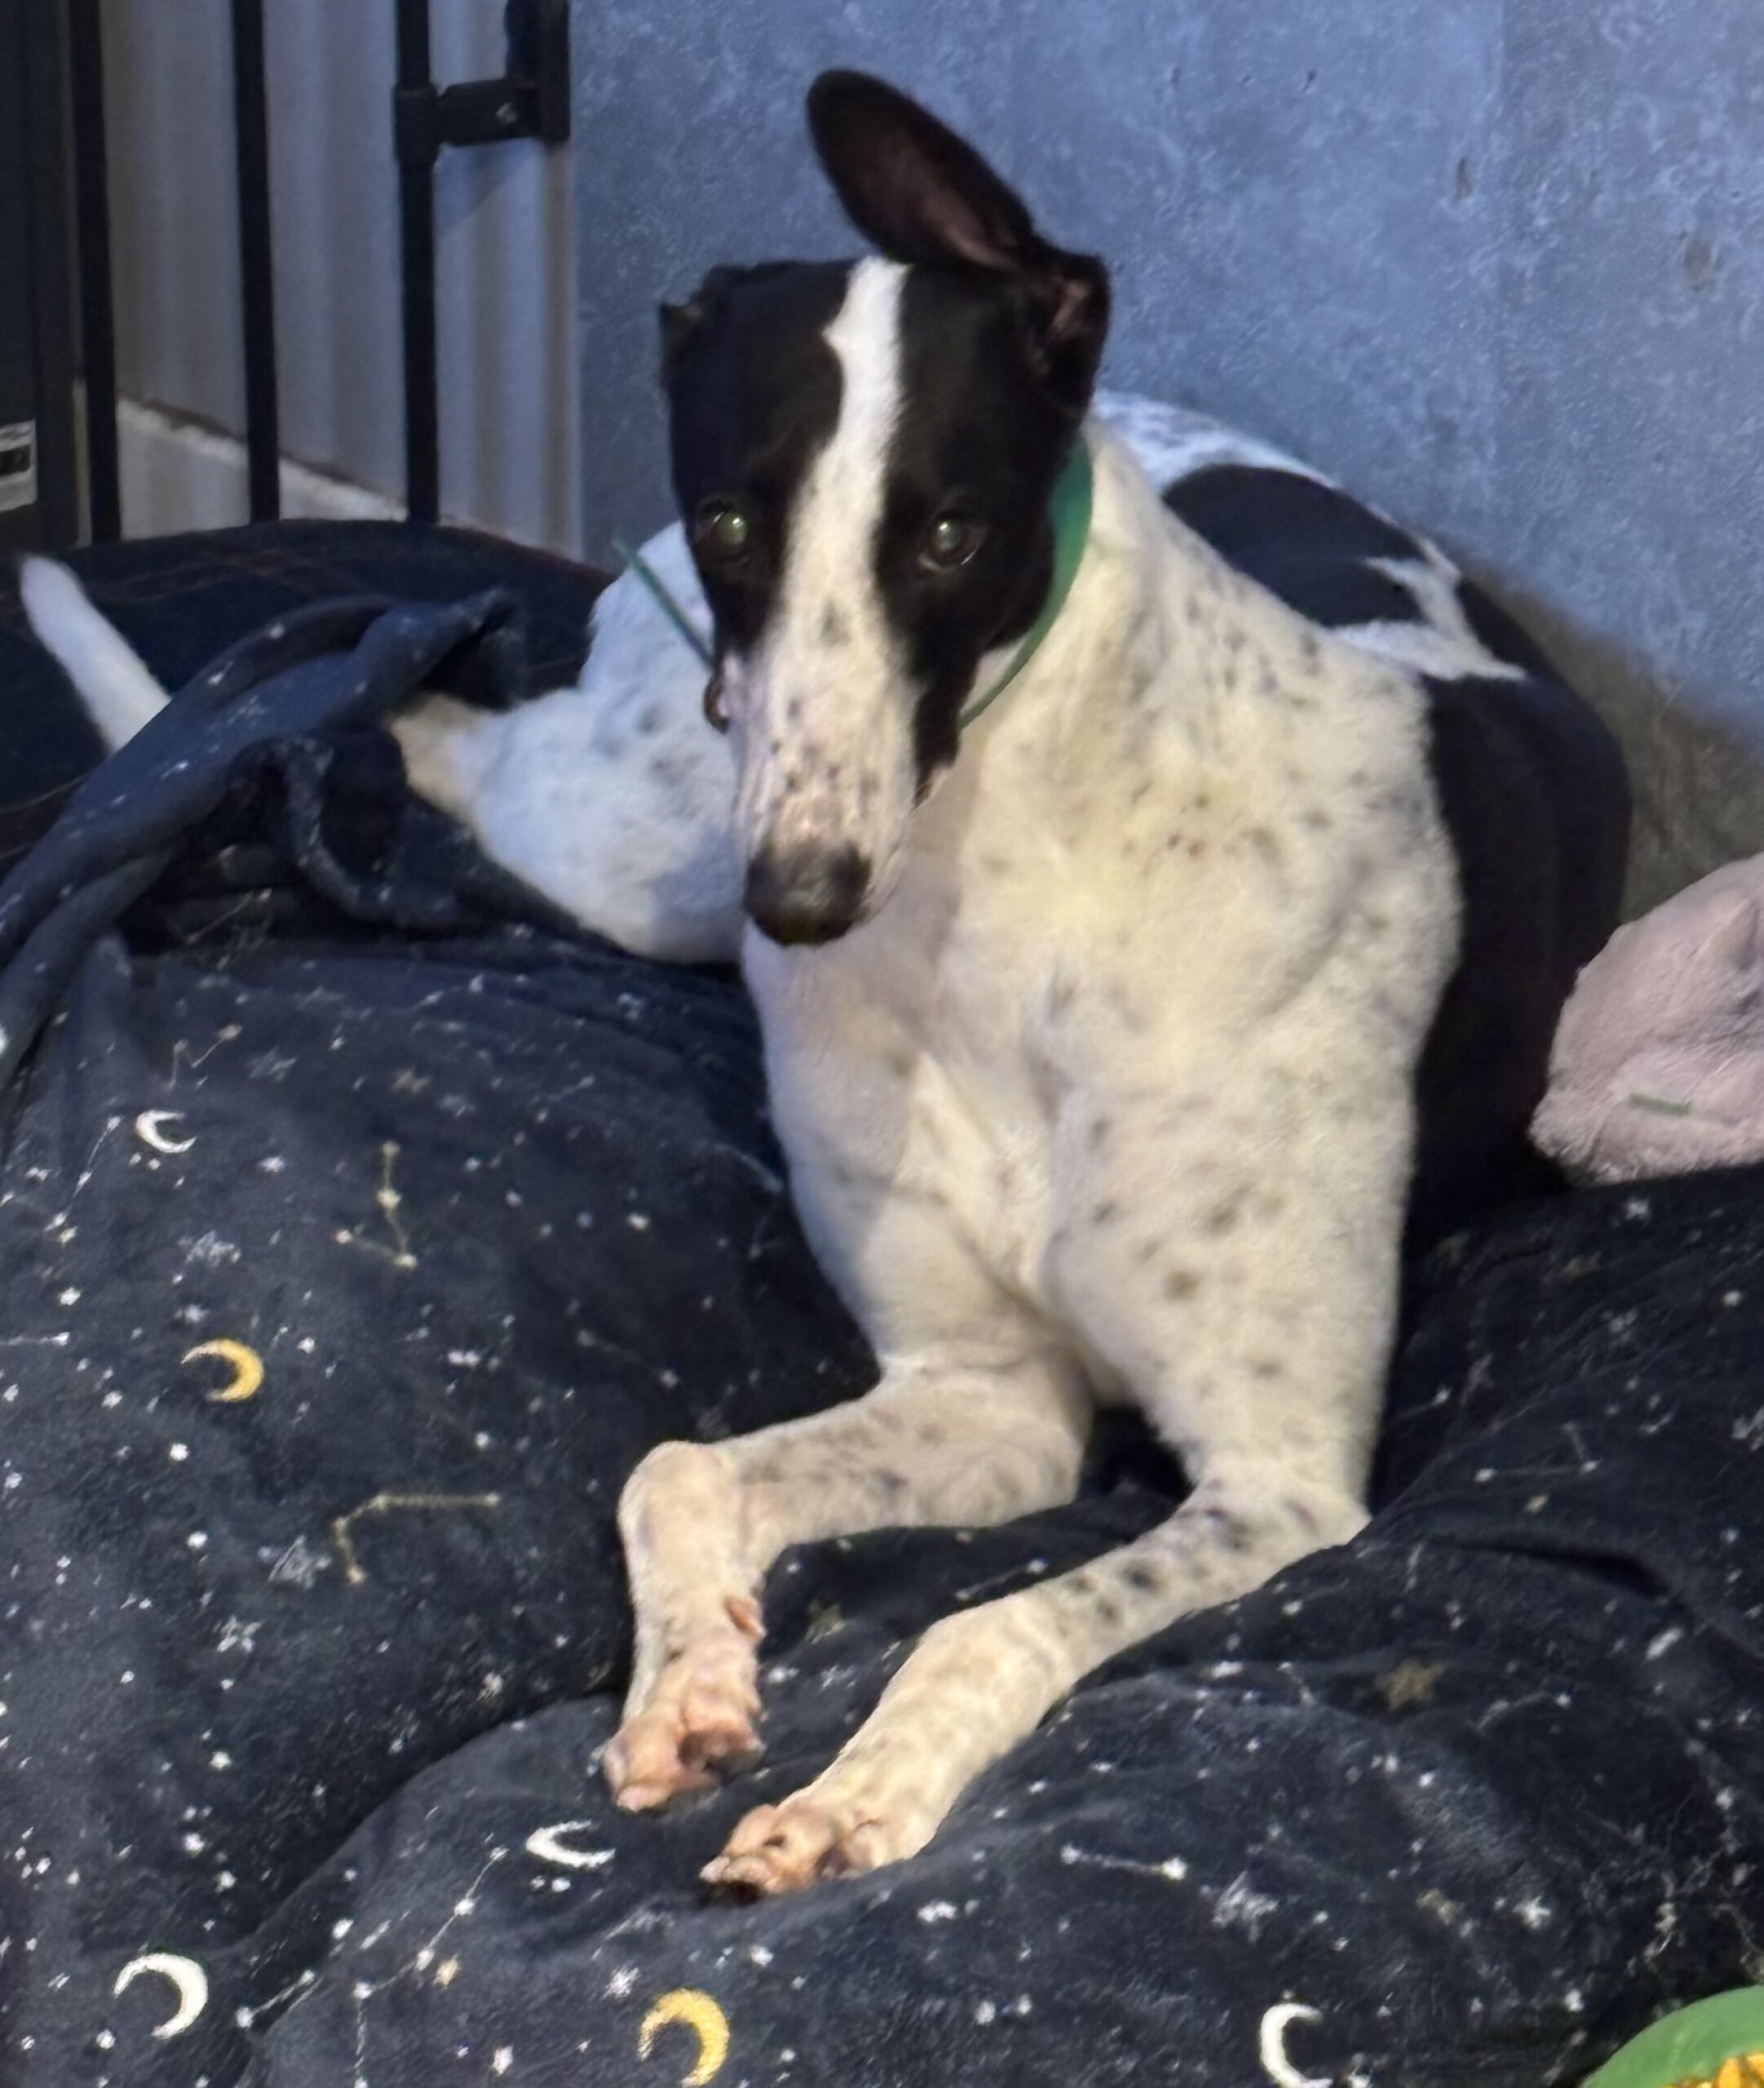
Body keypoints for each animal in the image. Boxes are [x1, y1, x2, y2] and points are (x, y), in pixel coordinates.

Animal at [22, 70, 1628, 1900]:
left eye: (949, 531)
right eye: (737, 519)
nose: (797, 902)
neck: (1005, 910)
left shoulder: (1261, 1480)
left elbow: (980, 1624)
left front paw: (853, 1791)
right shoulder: (971, 1384)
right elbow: (669, 1470)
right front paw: (686, 1681)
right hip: (637, 833)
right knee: (440, 710)